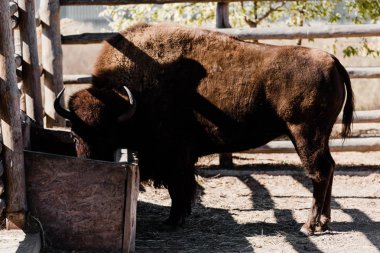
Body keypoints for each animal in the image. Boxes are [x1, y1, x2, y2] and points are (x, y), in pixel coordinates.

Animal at [55, 22, 354, 236]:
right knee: (330, 167)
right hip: (320, 136)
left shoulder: (175, 155)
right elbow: (181, 187)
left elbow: (178, 187)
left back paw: (309, 226)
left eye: (107, 135)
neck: (132, 97)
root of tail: (330, 59)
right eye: (74, 133)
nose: (88, 164)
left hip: (304, 134)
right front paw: (178, 218)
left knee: (319, 172)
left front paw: (172, 221)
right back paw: (324, 222)